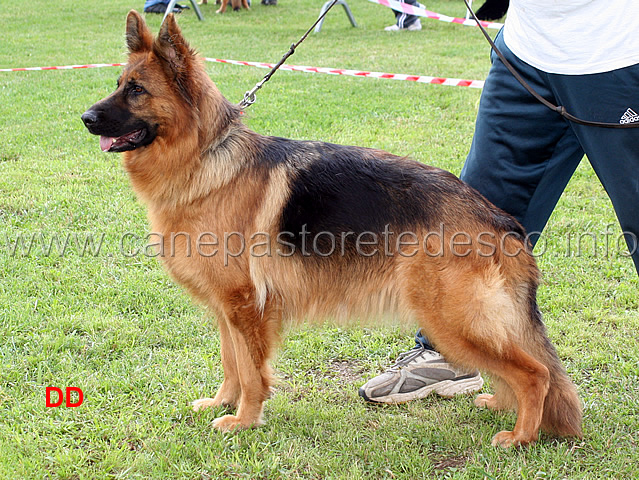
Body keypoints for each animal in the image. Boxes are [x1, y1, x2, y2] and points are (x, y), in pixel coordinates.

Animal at [81, 11, 584, 446]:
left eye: (137, 90)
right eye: (118, 85)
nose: (85, 118)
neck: (206, 157)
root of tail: (499, 218)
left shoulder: (245, 308)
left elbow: (251, 372)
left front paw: (245, 420)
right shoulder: (226, 310)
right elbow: (230, 363)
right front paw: (223, 404)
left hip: (450, 321)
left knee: (535, 372)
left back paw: (520, 436)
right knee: (522, 368)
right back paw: (501, 405)